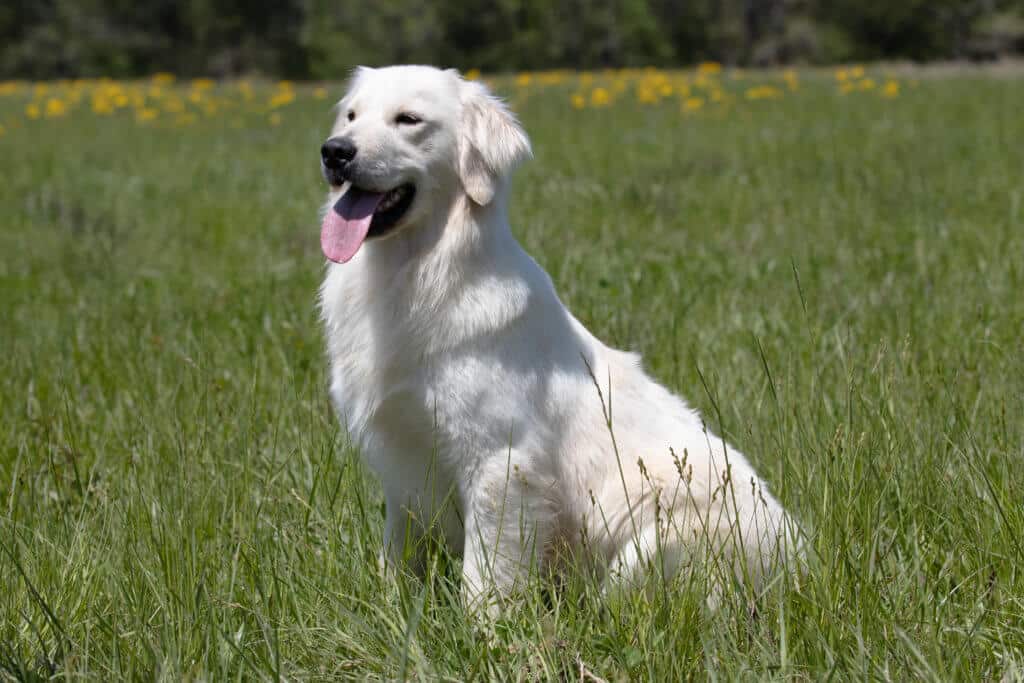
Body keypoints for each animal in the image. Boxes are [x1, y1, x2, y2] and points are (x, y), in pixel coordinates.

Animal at [315, 62, 794, 610]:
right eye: (352, 116)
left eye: (408, 119)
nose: (335, 151)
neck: (414, 276)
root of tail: (802, 556)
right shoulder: (404, 464)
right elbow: (396, 555)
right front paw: (388, 607)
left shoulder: (500, 463)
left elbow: (484, 574)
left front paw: (482, 626)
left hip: (653, 538)